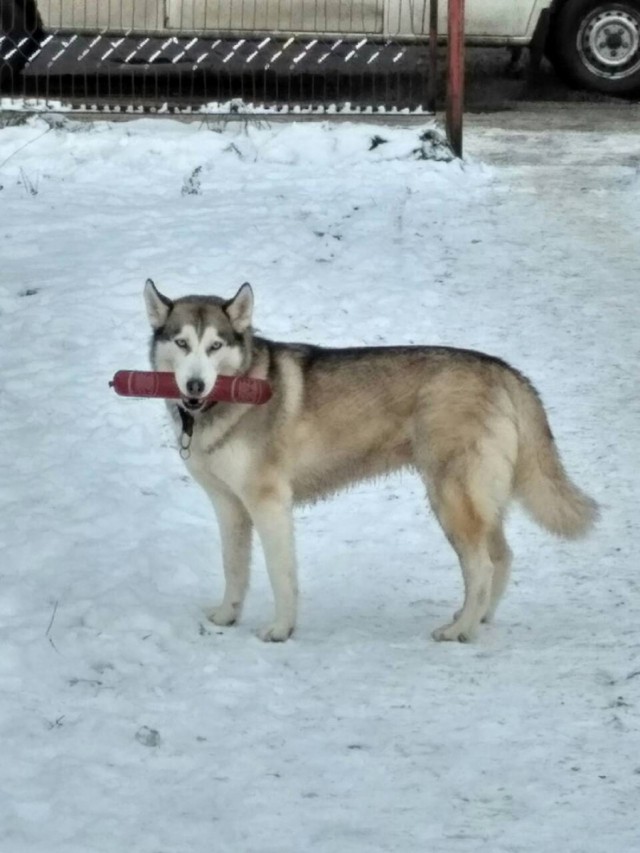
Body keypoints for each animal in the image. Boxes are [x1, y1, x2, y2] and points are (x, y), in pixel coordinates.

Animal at [142, 282, 596, 644]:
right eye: (182, 344)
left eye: (215, 346)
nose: (195, 385)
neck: (228, 398)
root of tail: (503, 370)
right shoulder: (230, 507)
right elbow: (234, 568)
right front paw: (226, 617)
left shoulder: (269, 504)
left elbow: (280, 574)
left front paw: (281, 629)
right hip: (478, 499)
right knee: (502, 557)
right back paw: (479, 618)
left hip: (450, 499)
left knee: (482, 566)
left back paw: (459, 630)